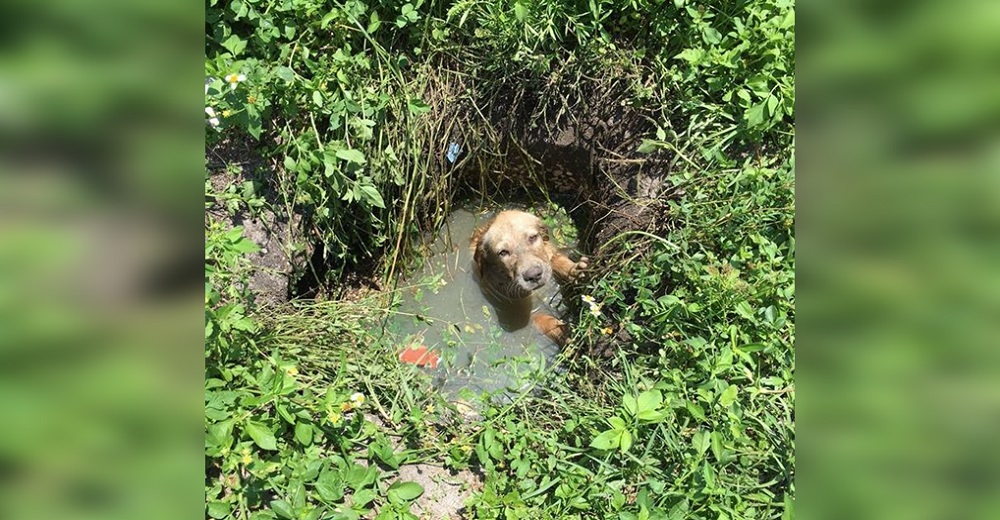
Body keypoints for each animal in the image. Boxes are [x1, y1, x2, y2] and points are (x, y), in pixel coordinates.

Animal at [472, 209, 588, 344]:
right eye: (503, 252)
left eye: (533, 238)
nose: (534, 276)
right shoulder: (522, 311)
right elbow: (544, 319)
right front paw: (565, 332)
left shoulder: (549, 253)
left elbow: (557, 260)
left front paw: (575, 270)